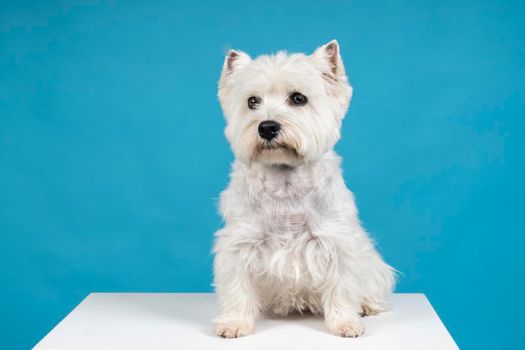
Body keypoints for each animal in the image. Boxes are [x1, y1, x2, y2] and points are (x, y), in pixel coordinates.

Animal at [213, 41, 392, 340]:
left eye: (298, 98)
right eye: (252, 101)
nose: (267, 127)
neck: (285, 182)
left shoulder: (338, 242)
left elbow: (343, 287)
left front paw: (346, 323)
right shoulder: (239, 242)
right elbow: (237, 288)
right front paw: (234, 323)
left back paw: (366, 306)